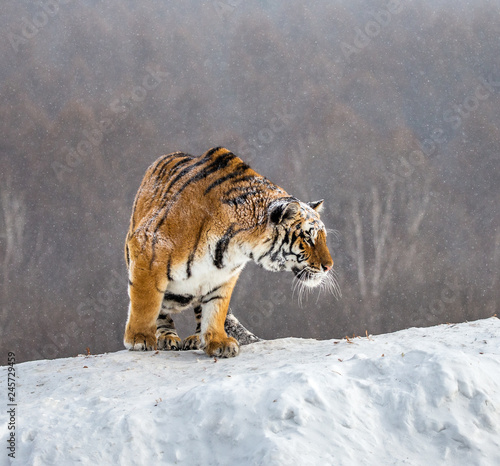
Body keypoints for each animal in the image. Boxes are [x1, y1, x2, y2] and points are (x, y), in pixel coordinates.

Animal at [124, 147, 336, 358]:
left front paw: (218, 342)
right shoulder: (149, 249)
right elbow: (146, 301)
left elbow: (215, 310)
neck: (235, 246)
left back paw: (196, 339)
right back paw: (167, 337)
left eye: (322, 237)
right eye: (308, 239)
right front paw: (139, 338)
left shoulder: (223, 276)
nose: (329, 266)